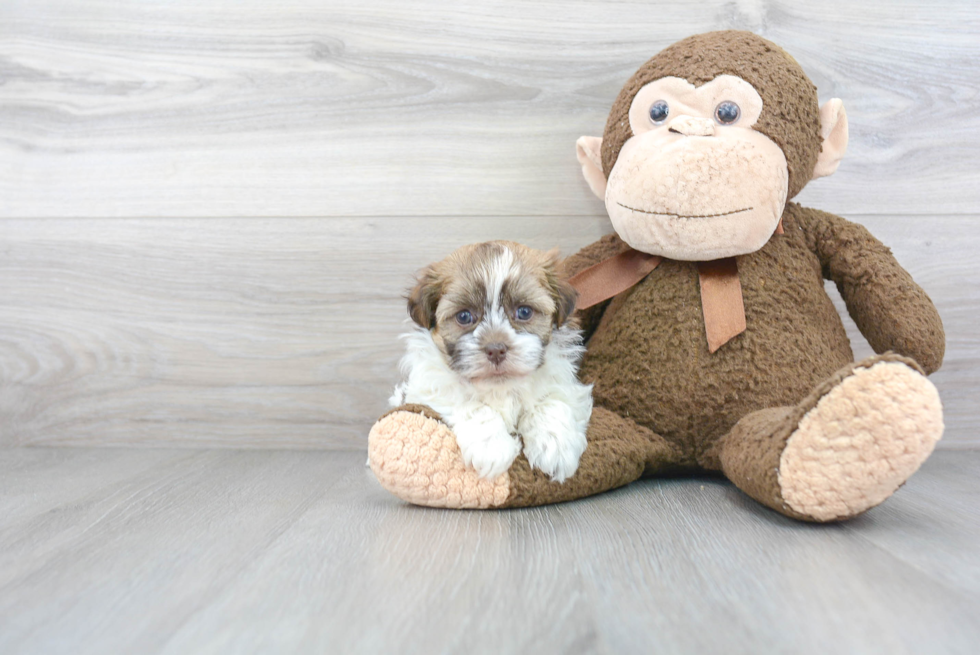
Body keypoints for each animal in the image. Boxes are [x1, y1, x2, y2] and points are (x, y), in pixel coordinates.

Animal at [388, 241, 588, 482]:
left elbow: (552, 401)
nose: (496, 350)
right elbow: (469, 403)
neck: (499, 386)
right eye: (464, 316)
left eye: (524, 311)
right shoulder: (428, 388)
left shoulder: (563, 383)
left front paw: (555, 446)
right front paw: (492, 447)